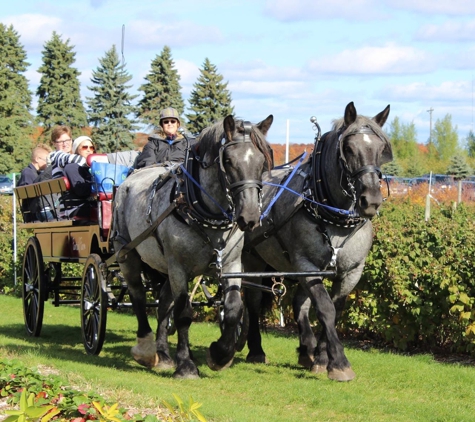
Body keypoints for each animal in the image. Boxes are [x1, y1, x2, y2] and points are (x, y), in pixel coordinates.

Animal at [113, 115, 274, 380]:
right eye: (228, 161)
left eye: (262, 162)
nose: (250, 217)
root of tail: (128, 182)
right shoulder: (179, 268)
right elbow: (183, 314)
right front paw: (186, 365)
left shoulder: (231, 264)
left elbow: (233, 309)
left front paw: (220, 355)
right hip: (128, 254)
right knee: (138, 295)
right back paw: (146, 350)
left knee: (163, 304)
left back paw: (163, 354)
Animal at [244, 103, 392, 382]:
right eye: (348, 148)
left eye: (381, 149)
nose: (371, 200)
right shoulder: (306, 265)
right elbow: (325, 309)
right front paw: (340, 363)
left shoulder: (351, 271)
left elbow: (335, 309)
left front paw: (323, 358)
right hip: (253, 259)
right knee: (253, 301)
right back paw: (255, 349)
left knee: (299, 305)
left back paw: (307, 350)